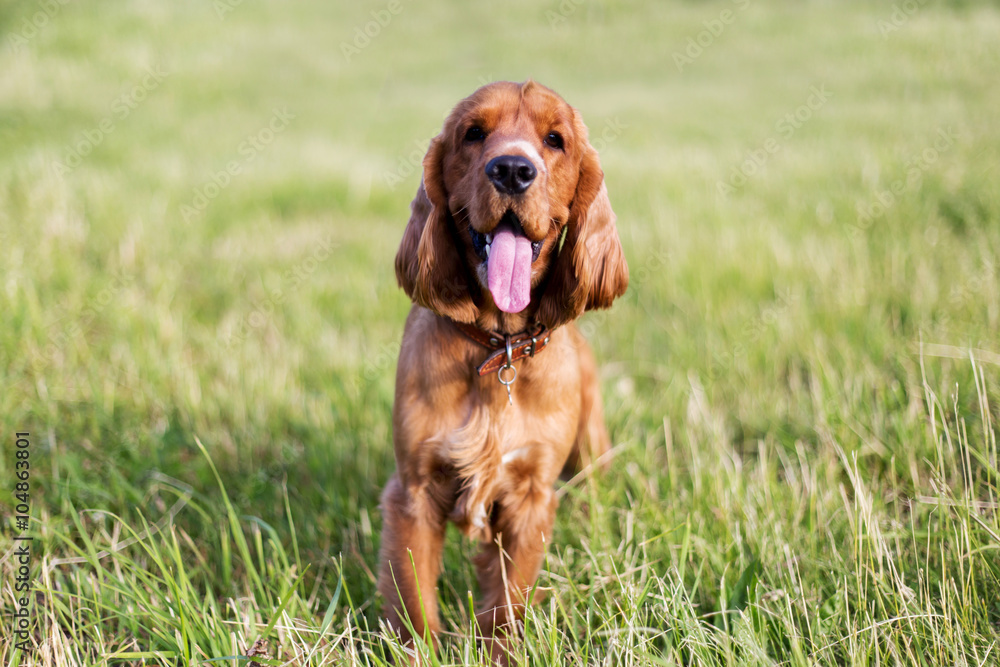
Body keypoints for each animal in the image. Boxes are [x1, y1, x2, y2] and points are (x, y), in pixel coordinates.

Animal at [378, 79, 628, 664]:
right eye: (473, 133)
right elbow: (413, 596)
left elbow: (508, 598)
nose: (512, 169)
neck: (500, 346)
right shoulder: (413, 490)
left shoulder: (531, 495)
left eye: (555, 139)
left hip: (591, 448)